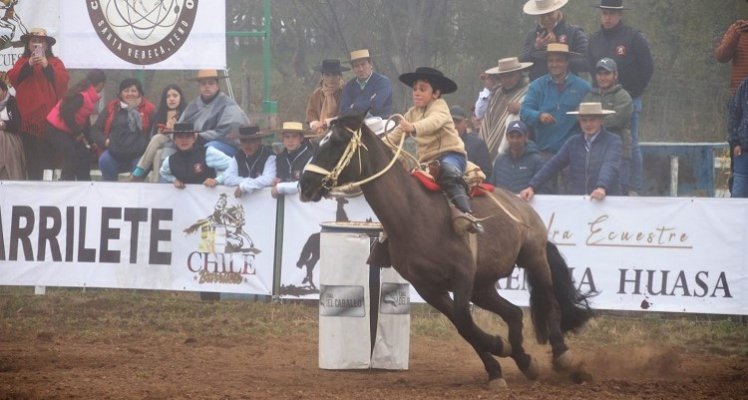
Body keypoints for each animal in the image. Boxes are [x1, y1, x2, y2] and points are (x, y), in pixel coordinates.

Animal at [296, 113, 592, 390]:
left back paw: (563, 357)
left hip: (533, 258)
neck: (413, 213)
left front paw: (499, 348)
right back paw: (525, 361)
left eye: (336, 142)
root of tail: (521, 205)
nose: (304, 185)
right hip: (483, 286)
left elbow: (463, 319)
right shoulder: (428, 287)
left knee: (550, 301)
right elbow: (463, 326)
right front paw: (497, 364)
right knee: (513, 313)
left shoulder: (462, 274)